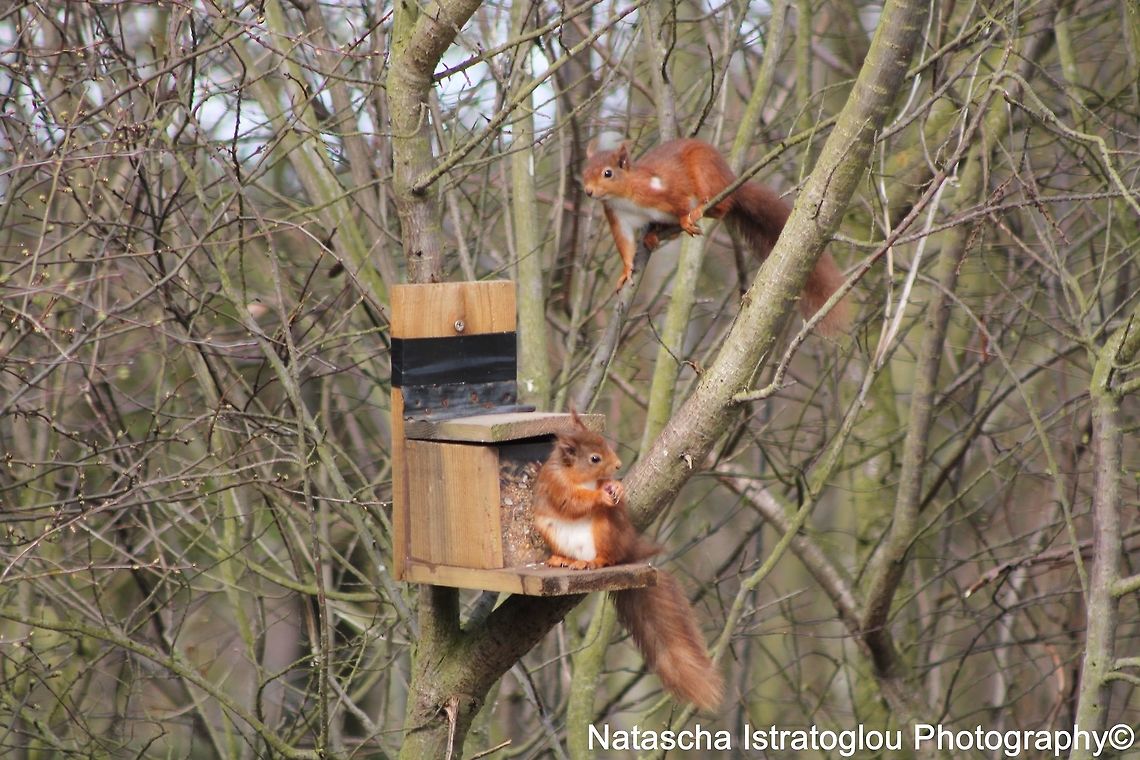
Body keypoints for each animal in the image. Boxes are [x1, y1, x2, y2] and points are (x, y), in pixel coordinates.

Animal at [532, 411, 724, 711]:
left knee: (608, 557)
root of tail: (626, 551)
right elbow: (572, 502)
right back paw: (564, 559)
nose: (619, 465)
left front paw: (616, 488)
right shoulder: (557, 486)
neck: (578, 477)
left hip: (605, 529)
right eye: (594, 458)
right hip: (551, 531)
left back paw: (591, 562)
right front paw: (600, 494)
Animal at [582, 137, 847, 333]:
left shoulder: (669, 193)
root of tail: (729, 180)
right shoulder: (617, 216)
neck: (624, 196)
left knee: (723, 206)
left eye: (608, 173)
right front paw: (626, 271)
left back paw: (699, 210)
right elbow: (625, 245)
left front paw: (685, 218)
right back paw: (653, 235)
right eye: (584, 172)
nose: (588, 192)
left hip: (705, 171)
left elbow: (679, 202)